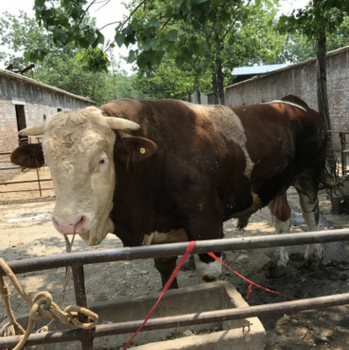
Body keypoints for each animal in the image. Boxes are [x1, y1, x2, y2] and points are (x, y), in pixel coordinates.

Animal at [10, 95, 326, 288]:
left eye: (101, 160)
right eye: (48, 162)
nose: (68, 223)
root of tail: (293, 104)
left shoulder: (206, 223)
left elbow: (209, 276)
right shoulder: (159, 234)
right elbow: (166, 276)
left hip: (309, 173)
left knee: (311, 213)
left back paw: (314, 256)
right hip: (276, 182)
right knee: (282, 217)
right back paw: (279, 263)